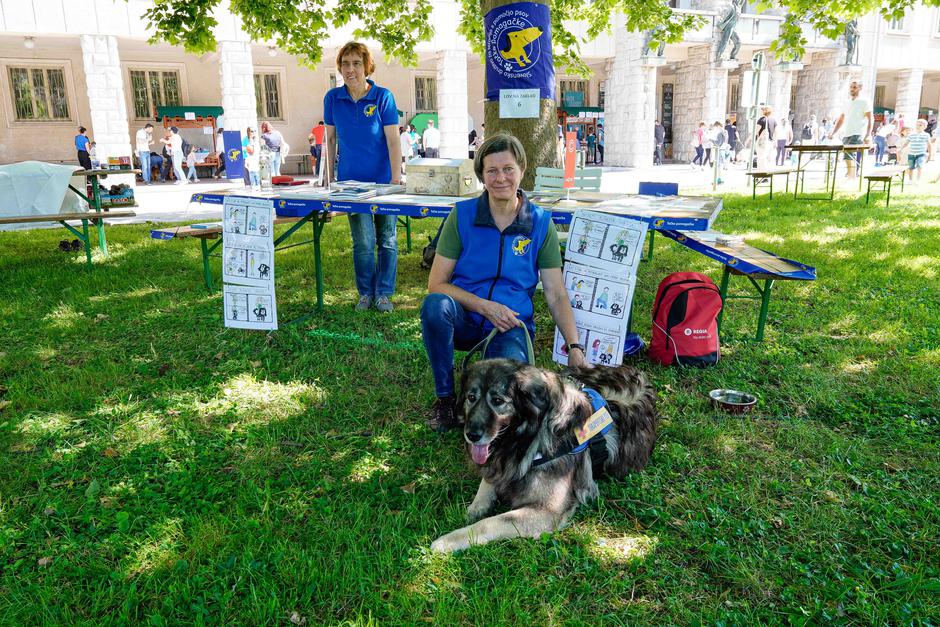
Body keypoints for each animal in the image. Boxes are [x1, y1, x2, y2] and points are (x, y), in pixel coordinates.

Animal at [432, 358, 656, 556]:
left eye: (497, 401)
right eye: (471, 397)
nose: (471, 435)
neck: (530, 437)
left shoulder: (547, 511)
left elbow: (489, 523)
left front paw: (449, 540)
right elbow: (486, 486)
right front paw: (472, 509)